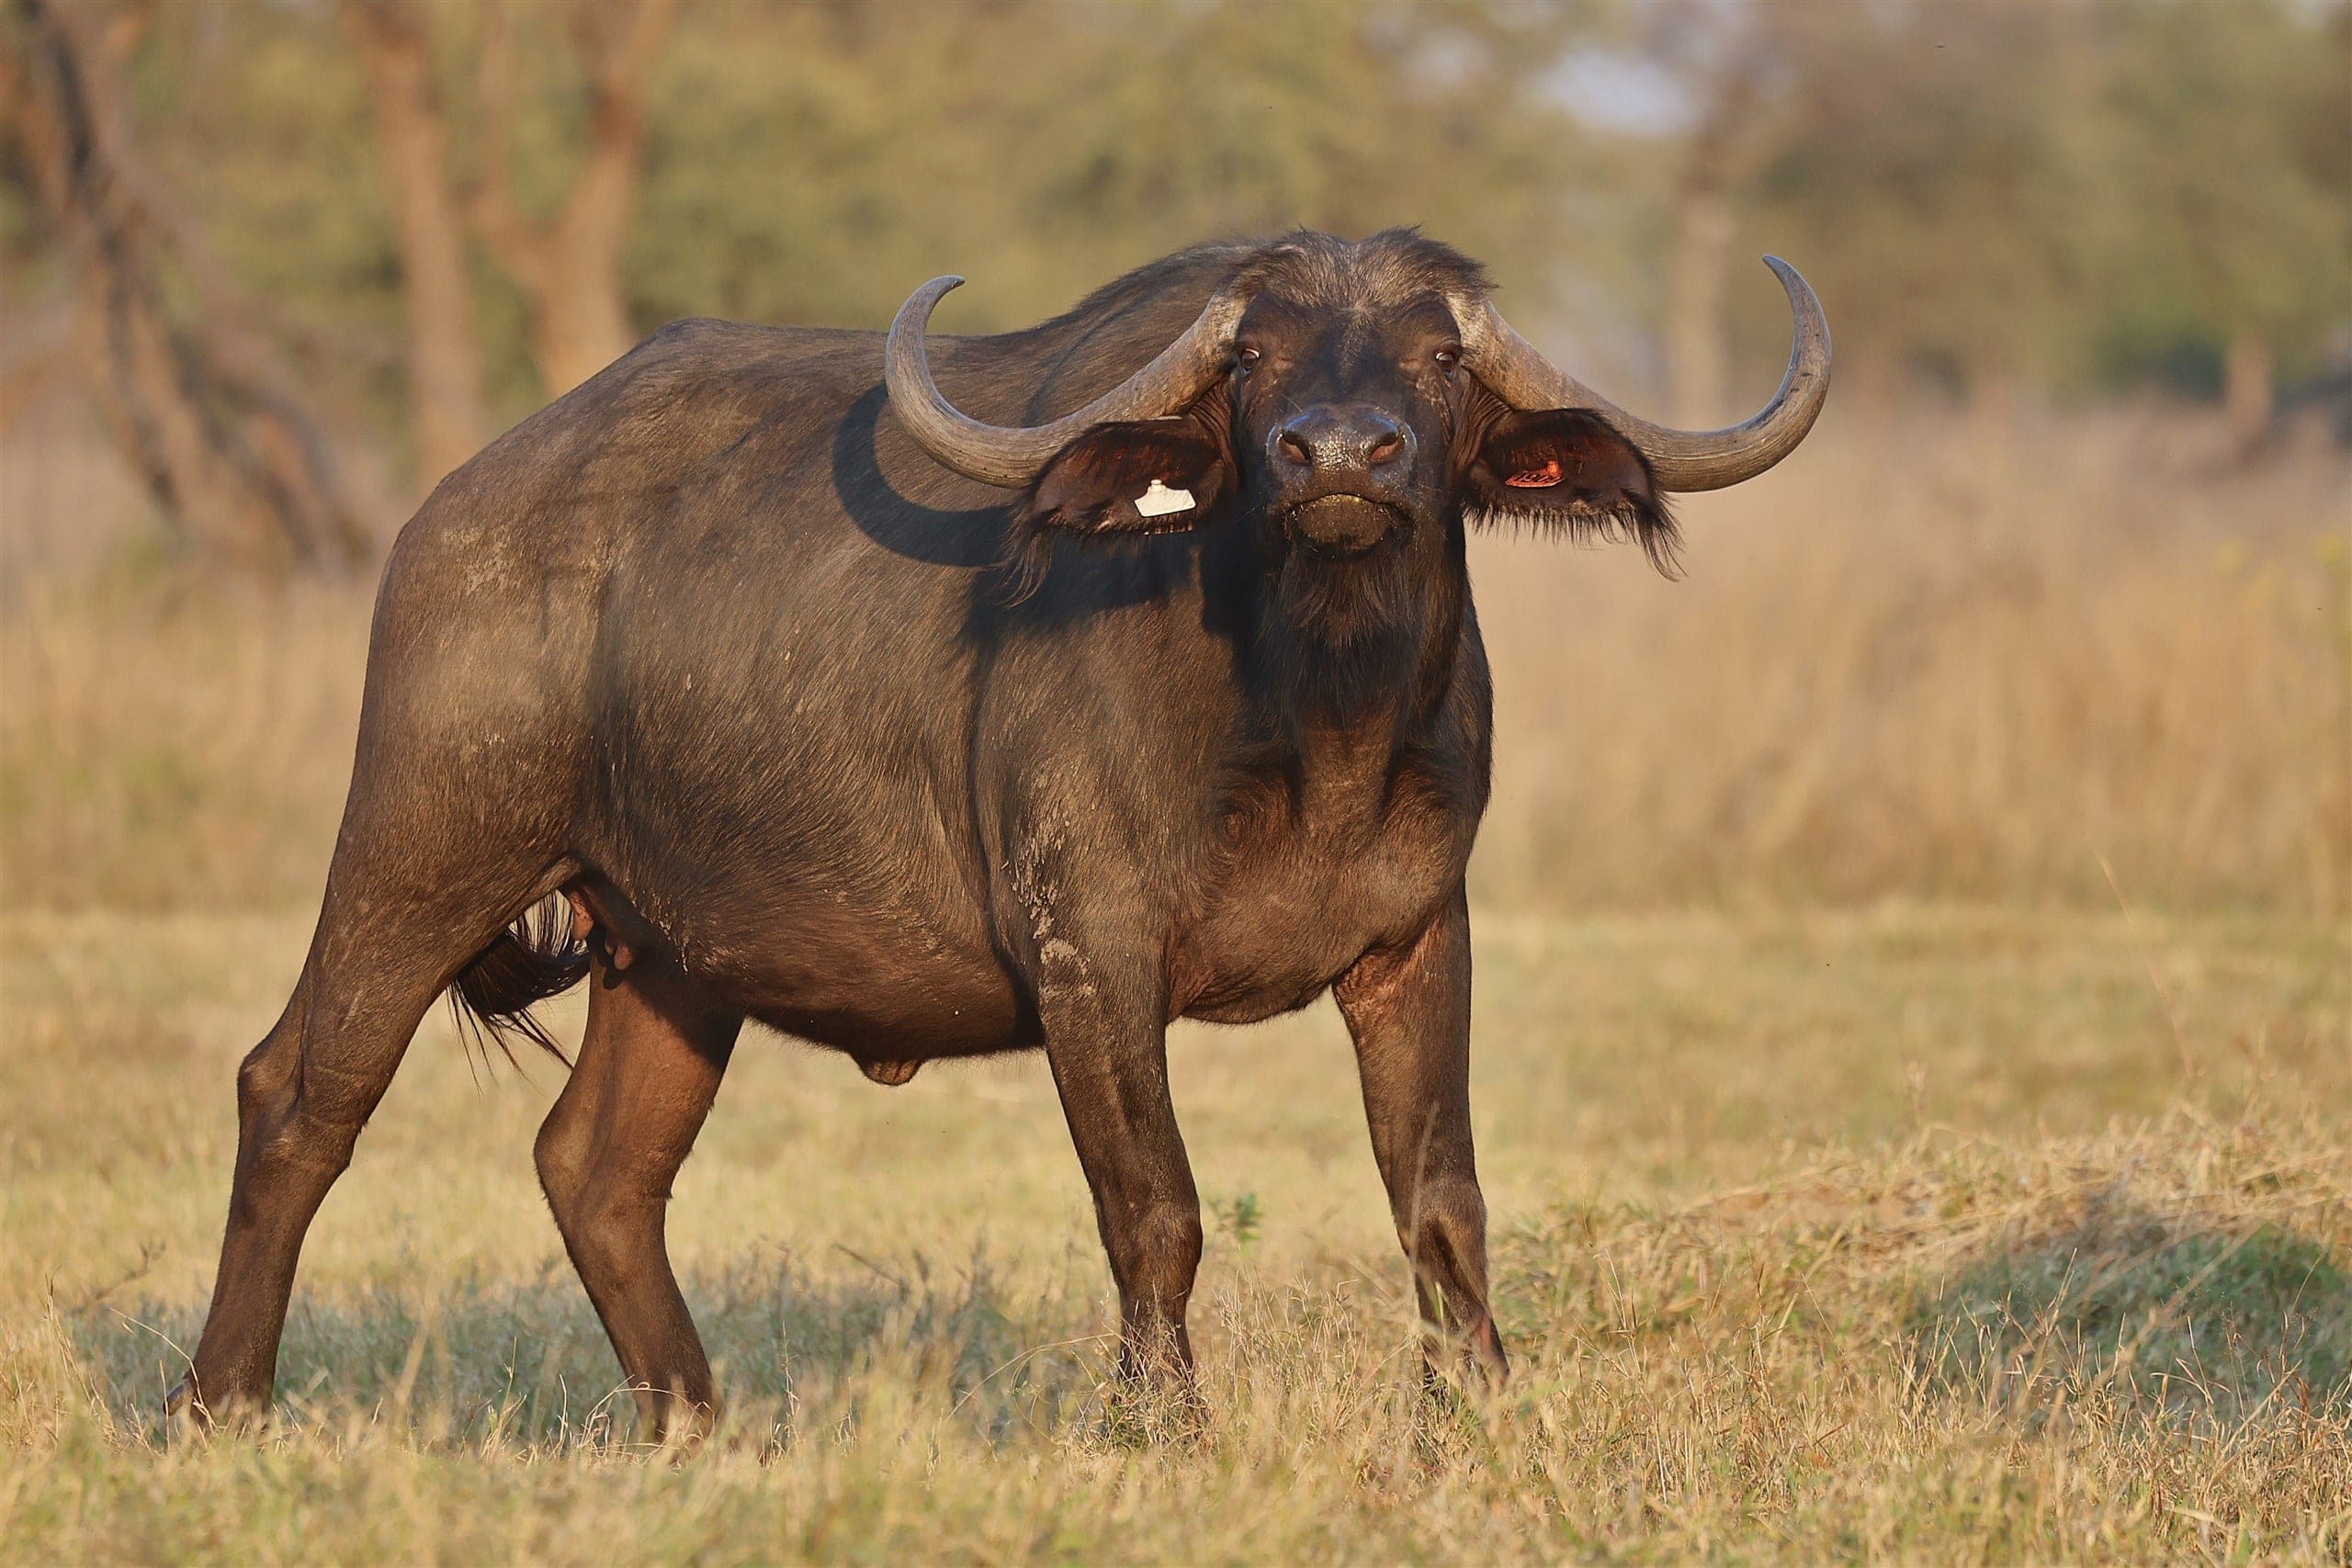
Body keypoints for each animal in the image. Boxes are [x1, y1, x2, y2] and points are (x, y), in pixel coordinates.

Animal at [168, 229, 1828, 1443]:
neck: (1315, 722)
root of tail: (454, 515)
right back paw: (221, 1405)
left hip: (672, 957)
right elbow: (1156, 1211)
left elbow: (1443, 1204)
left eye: (1435, 355)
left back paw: (699, 1424)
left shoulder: (1419, 940)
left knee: (597, 1167)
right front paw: (1162, 1430)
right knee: (299, 1092)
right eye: (1255, 357)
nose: (1340, 456)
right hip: (422, 845)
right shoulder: (1091, 959)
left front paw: (1477, 1410)